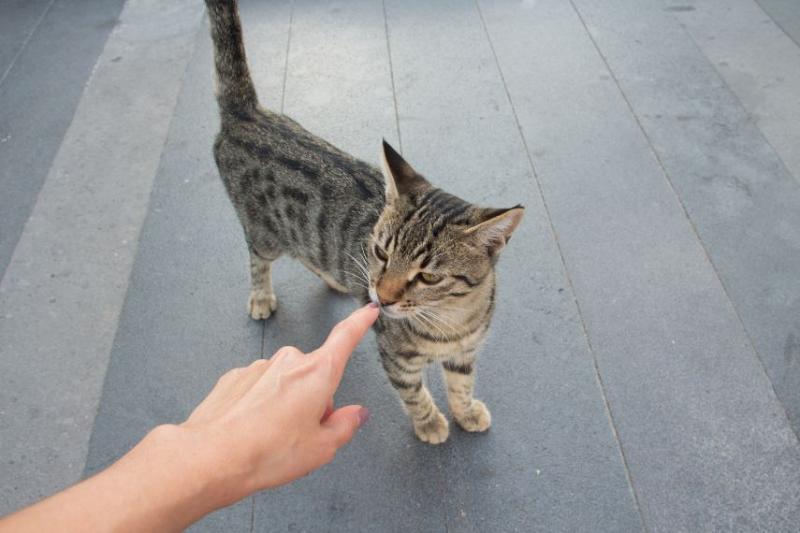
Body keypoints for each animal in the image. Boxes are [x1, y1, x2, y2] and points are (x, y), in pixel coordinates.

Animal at [206, 0, 524, 444]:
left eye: (429, 276)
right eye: (380, 251)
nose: (381, 298)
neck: (450, 321)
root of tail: (246, 112)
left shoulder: (465, 352)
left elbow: (461, 385)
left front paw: (466, 411)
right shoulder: (397, 358)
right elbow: (415, 394)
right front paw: (429, 423)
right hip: (265, 233)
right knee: (257, 258)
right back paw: (261, 296)